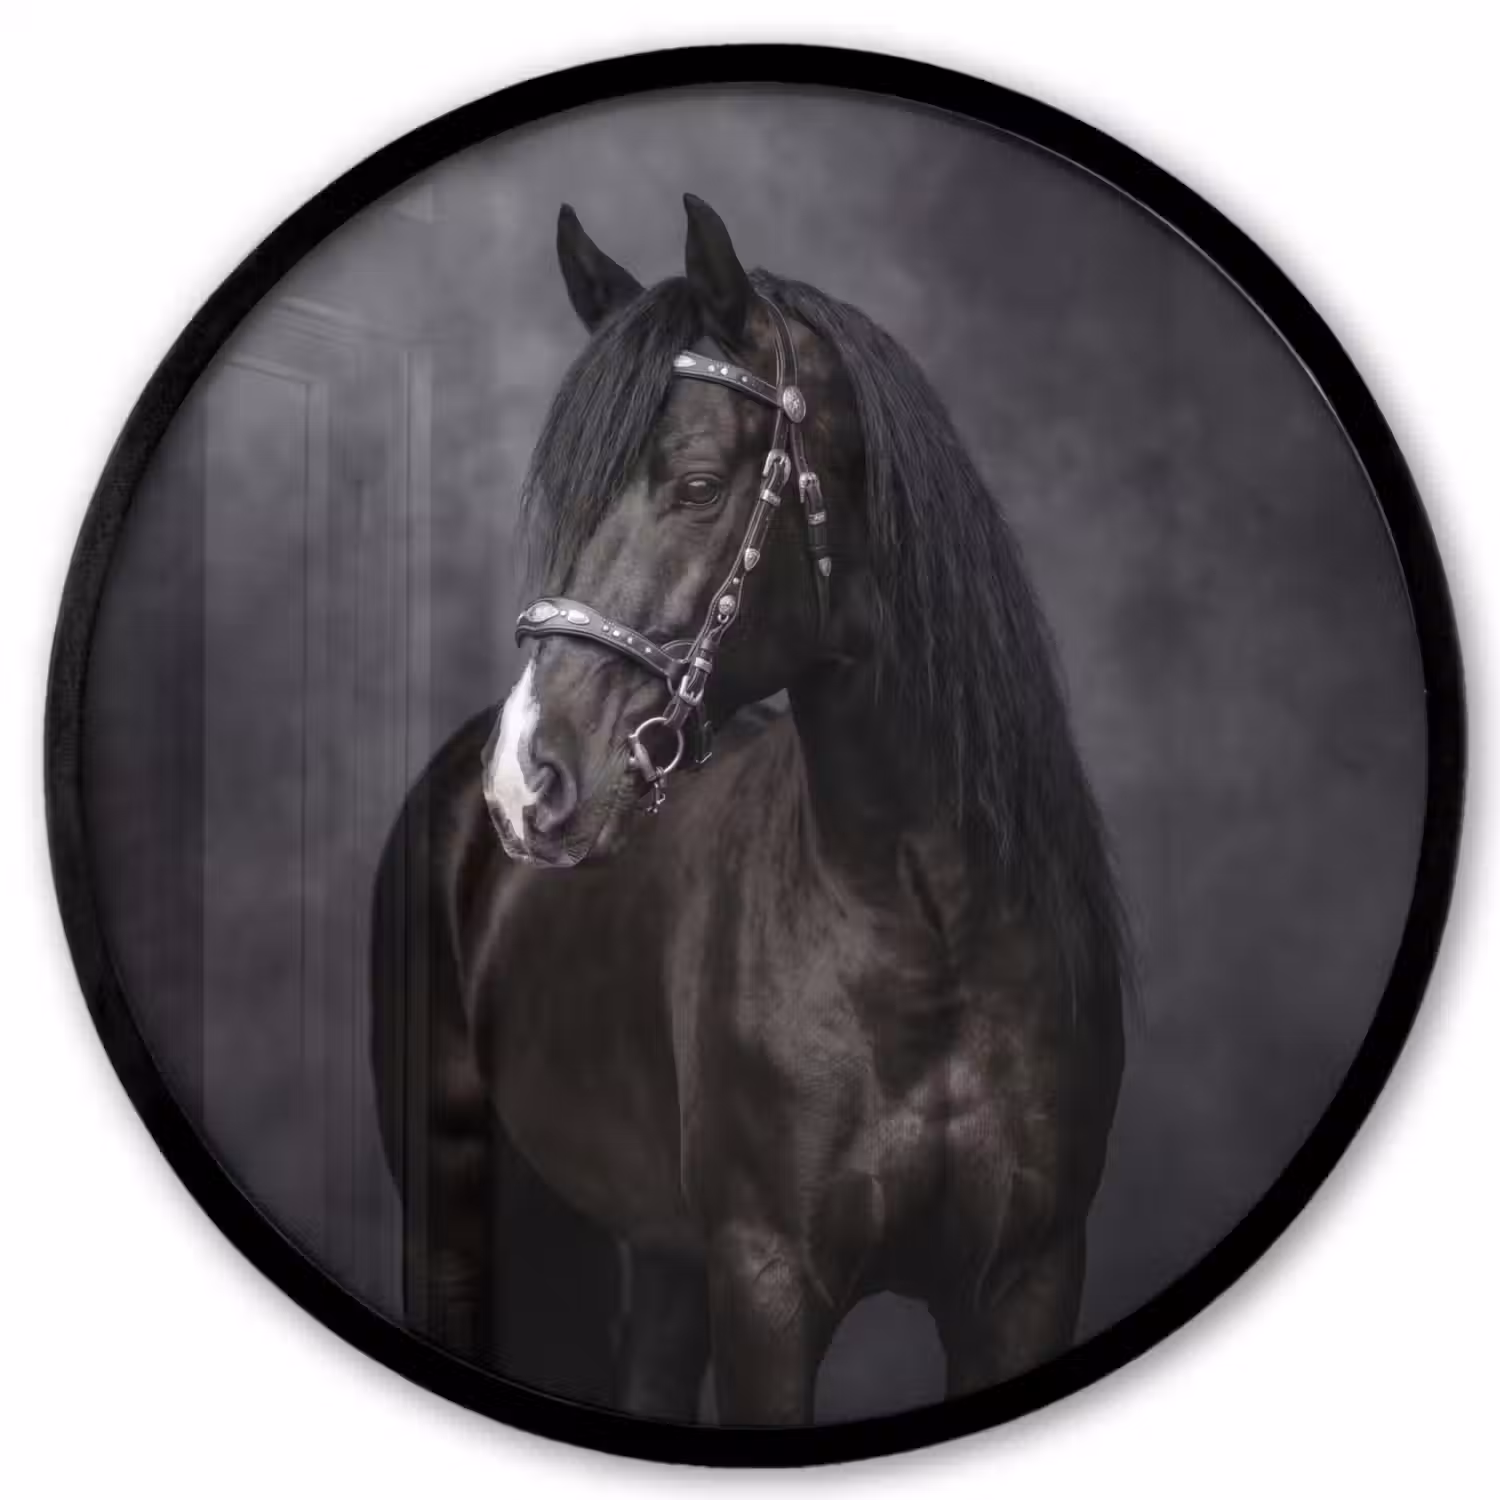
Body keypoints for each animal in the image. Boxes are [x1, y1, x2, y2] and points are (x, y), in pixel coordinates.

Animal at [371, 193, 1127, 1425]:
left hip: (663, 1254)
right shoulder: (768, 1283)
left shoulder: (1026, 1278)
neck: (928, 928)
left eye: (693, 486)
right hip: (456, 1211)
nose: (526, 778)